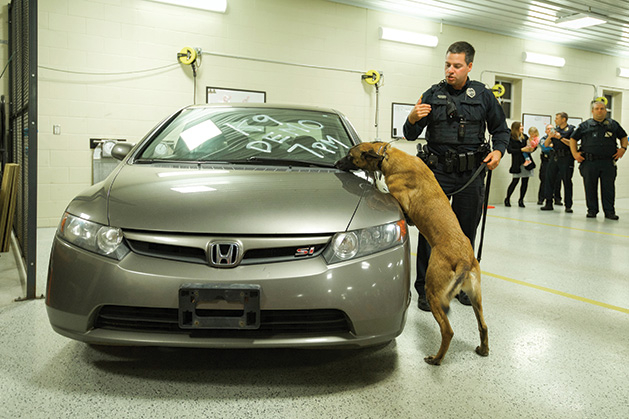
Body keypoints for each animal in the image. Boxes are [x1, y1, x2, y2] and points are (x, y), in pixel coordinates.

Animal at [336, 143, 488, 366]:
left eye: (350, 156)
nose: (337, 163)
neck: (386, 156)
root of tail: (464, 260)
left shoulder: (394, 198)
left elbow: (379, 195)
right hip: (475, 297)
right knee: (483, 326)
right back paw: (483, 349)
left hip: (434, 293)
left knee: (448, 331)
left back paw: (436, 358)